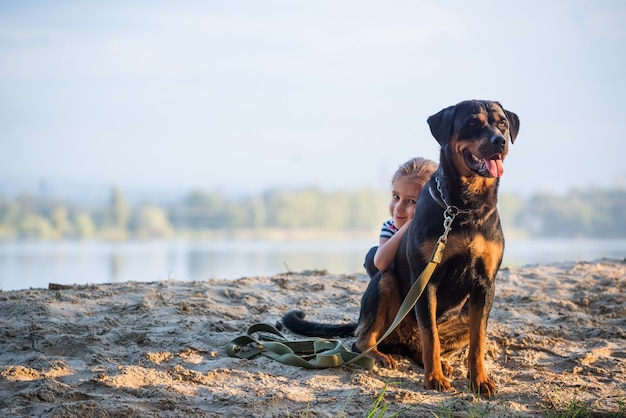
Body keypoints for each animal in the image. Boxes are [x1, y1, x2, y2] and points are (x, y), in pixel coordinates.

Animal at [282, 99, 516, 396]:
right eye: (473, 123)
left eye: (502, 124)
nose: (499, 141)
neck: (464, 207)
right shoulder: (425, 280)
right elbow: (430, 335)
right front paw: (434, 379)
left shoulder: (485, 285)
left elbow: (478, 342)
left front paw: (480, 380)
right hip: (385, 284)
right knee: (365, 339)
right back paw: (382, 356)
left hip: (462, 318)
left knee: (429, 343)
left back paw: (438, 363)